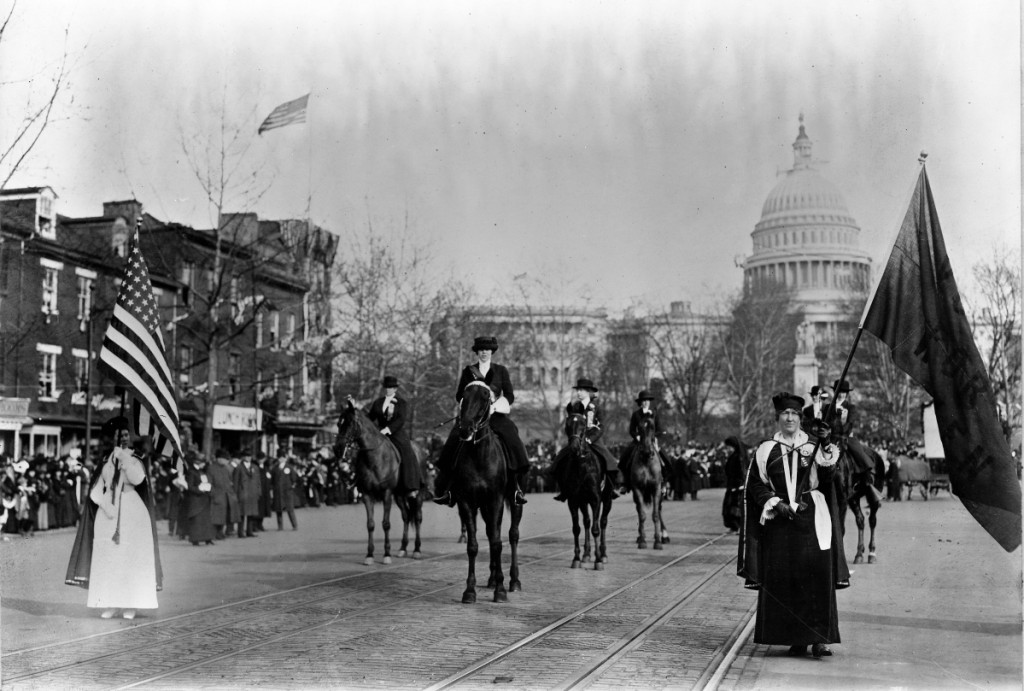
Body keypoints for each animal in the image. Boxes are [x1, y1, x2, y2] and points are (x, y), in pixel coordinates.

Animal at [335, 403, 423, 565]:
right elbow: (370, 524)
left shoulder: (386, 493)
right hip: (399, 495)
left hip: (417, 493)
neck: (375, 457)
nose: (337, 449)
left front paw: (386, 554)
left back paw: (417, 550)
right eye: (339, 423)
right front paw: (369, 555)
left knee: (418, 517)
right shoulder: (367, 495)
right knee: (406, 516)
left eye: (349, 423)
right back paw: (403, 548)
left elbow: (386, 523)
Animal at [452, 380, 524, 601]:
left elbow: (497, 543)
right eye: (464, 397)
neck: (479, 455)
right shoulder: (467, 502)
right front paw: (469, 590)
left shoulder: (496, 500)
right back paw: (492, 578)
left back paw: (513, 580)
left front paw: (500, 590)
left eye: (485, 398)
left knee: (512, 534)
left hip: (513, 500)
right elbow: (473, 545)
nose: (465, 429)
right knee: (492, 532)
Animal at [557, 413, 610, 569]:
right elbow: (577, 528)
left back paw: (603, 554)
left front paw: (598, 560)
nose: (574, 447)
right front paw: (576, 558)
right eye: (567, 426)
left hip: (607, 500)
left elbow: (596, 529)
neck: (582, 466)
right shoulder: (573, 501)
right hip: (583, 502)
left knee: (602, 522)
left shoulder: (596, 499)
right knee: (586, 522)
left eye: (583, 426)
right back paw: (586, 554)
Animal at [622, 415, 663, 552]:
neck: (646, 460)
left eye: (653, 427)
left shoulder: (656, 488)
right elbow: (642, 515)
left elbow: (655, 515)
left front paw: (658, 542)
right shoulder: (637, 489)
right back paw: (640, 537)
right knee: (639, 510)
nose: (646, 451)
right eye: (639, 428)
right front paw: (643, 541)